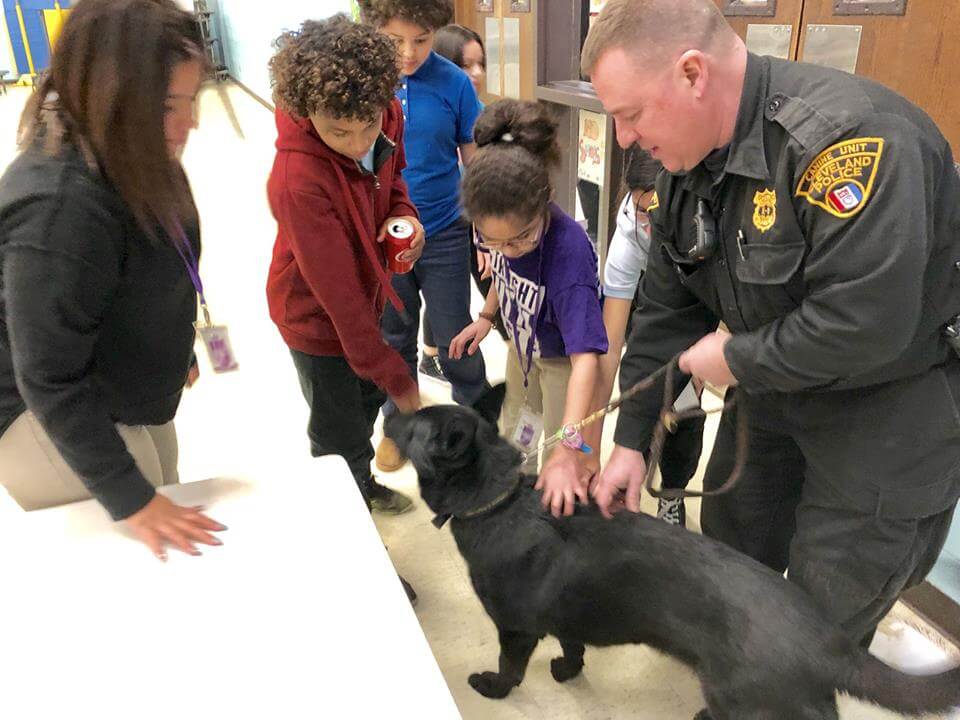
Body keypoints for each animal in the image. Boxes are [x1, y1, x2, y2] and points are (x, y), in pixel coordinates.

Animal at [382, 390, 960, 716]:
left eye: (413, 424)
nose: (387, 411)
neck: (499, 499)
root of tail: (829, 642)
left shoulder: (516, 629)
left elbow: (510, 668)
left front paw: (494, 687)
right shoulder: (569, 612)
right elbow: (573, 643)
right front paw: (568, 669)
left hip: (746, 700)